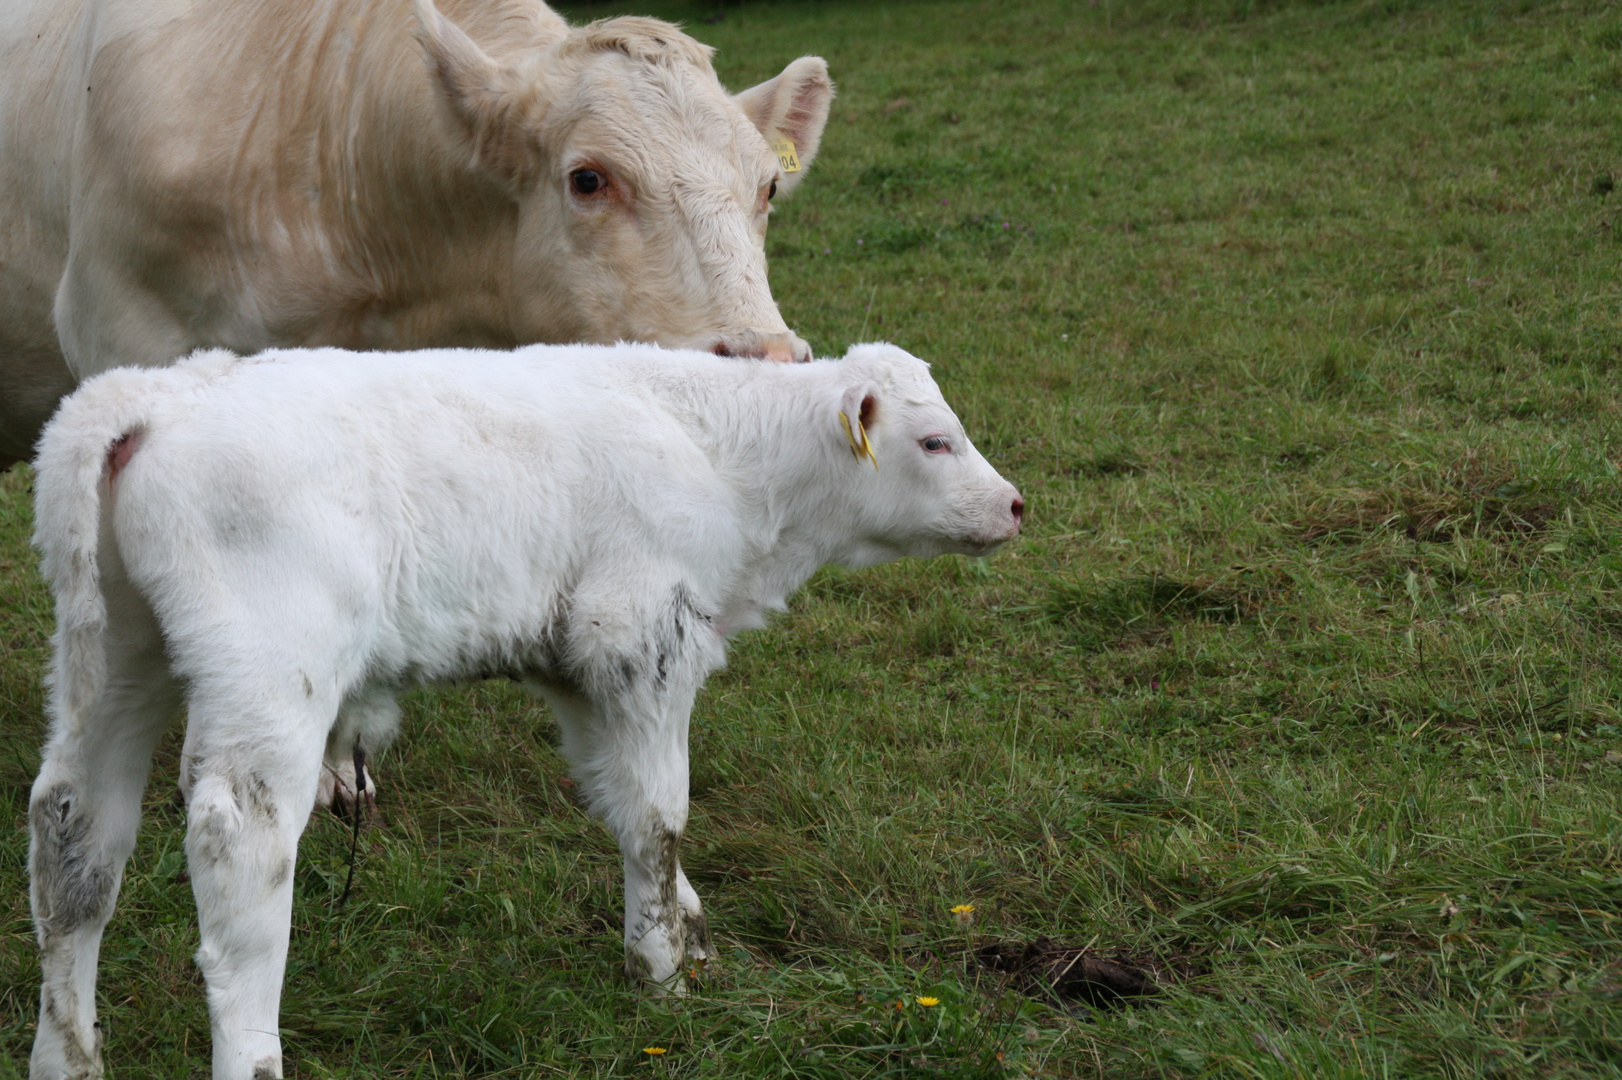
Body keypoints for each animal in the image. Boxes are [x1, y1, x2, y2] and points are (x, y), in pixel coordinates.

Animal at [28, 342, 1025, 1076]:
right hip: (270, 673)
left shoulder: (581, 669)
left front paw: (687, 928)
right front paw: (660, 971)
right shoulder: (641, 636)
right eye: (935, 442)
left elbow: (620, 805)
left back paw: (68, 1057)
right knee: (239, 850)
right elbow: (660, 813)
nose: (1015, 506)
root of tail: (159, 392)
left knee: (73, 839)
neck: (719, 453)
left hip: (117, 659)